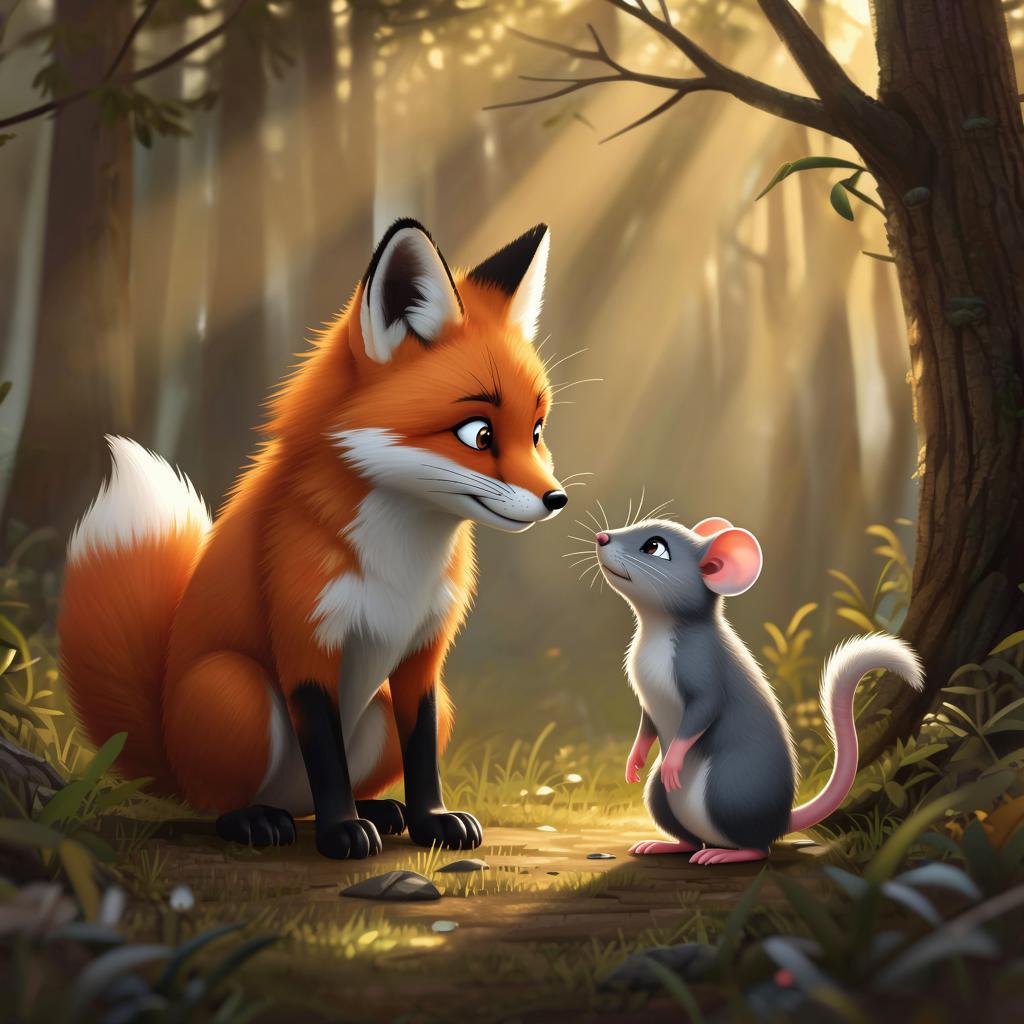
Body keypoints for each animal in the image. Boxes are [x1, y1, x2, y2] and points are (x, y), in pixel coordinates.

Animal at [59, 219, 567, 859]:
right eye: (477, 434)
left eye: (536, 430)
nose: (557, 499)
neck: (403, 558)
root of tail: (168, 758)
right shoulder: (306, 642)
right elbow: (326, 758)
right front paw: (342, 831)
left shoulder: (424, 658)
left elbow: (423, 754)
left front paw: (431, 821)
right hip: (235, 690)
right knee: (222, 802)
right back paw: (258, 820)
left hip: (392, 711)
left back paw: (380, 809)